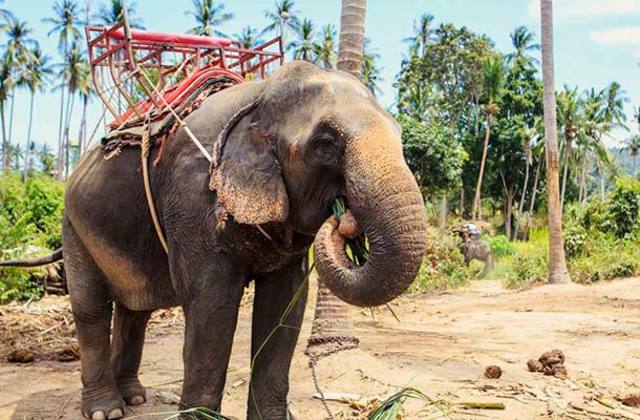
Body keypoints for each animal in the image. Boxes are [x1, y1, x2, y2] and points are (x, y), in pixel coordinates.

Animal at [1, 61, 428, 419]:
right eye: (325, 143)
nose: (345, 218)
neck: (259, 94)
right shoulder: (193, 198)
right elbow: (211, 304)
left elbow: (285, 305)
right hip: (73, 225)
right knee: (92, 309)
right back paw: (108, 410)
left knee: (135, 310)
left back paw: (134, 397)